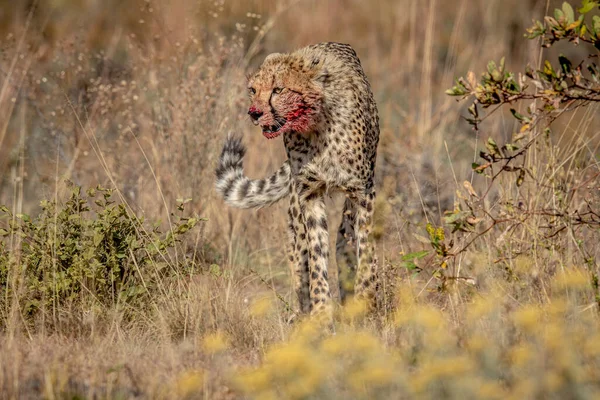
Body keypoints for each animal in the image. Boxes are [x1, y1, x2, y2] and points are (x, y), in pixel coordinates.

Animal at [216, 42, 380, 318]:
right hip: (295, 213)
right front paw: (321, 311)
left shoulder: (362, 192)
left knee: (344, 241)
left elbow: (366, 250)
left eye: (278, 89)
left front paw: (366, 298)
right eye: (253, 90)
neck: (317, 126)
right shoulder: (309, 195)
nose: (254, 113)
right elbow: (317, 255)